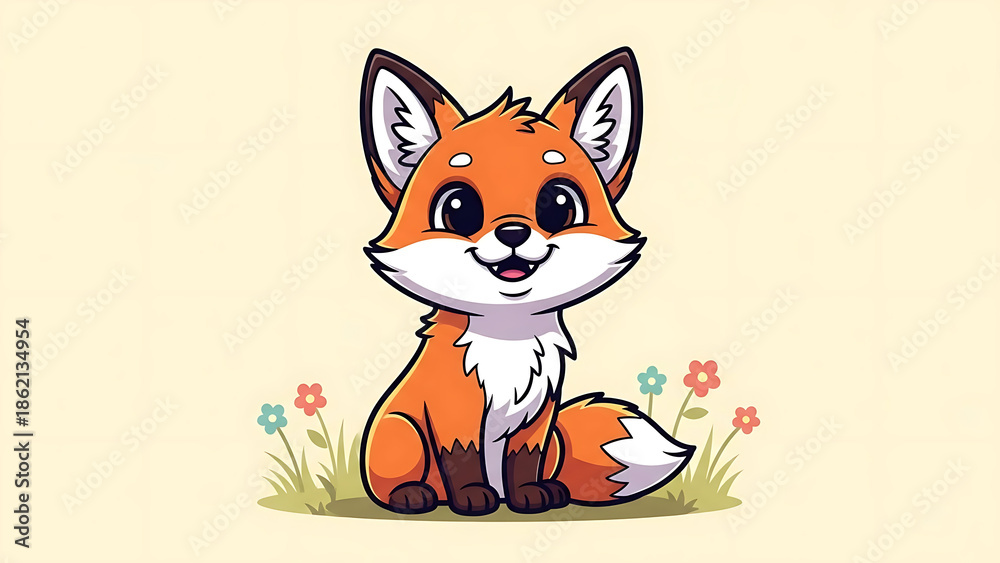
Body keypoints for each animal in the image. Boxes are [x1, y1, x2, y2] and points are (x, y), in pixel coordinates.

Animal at [359, 47, 694, 515]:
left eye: (559, 204)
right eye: (457, 208)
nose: (513, 232)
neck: (508, 342)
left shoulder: (538, 415)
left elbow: (523, 461)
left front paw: (529, 497)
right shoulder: (454, 413)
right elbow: (462, 459)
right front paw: (472, 498)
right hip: (400, 431)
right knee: (397, 480)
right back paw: (413, 495)